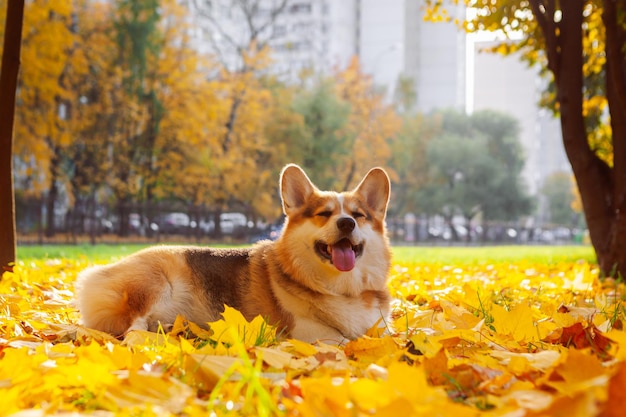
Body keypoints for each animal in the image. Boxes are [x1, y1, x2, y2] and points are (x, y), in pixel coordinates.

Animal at [75, 164, 390, 342]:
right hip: (155, 283)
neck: (342, 290)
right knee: (132, 328)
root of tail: (96, 274)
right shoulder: (307, 333)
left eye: (358, 215)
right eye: (324, 214)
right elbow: (344, 342)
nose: (346, 223)